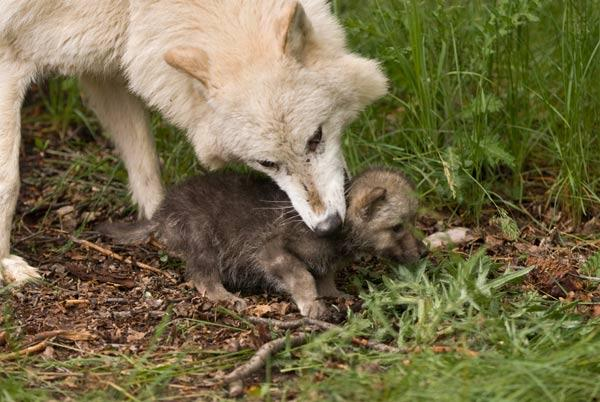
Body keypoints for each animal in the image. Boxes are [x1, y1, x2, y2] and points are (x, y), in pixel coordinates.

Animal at [0, 0, 390, 282]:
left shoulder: (107, 69)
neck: (134, 8)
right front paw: (7, 266)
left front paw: (160, 225)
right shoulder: (9, 61)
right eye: (268, 163)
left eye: (315, 138)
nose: (328, 226)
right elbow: (9, 181)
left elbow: (145, 164)